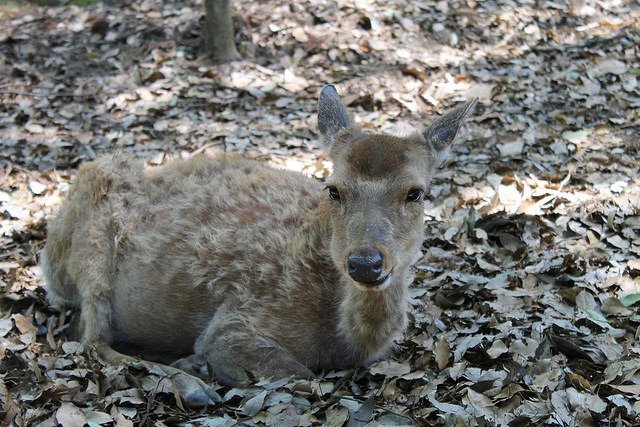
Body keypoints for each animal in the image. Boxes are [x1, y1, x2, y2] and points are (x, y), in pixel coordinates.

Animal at [41, 84, 476, 408]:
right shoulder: (237, 320)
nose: (365, 262)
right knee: (91, 340)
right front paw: (201, 361)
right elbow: (302, 375)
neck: (343, 340)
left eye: (415, 192)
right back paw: (193, 382)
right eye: (333, 189)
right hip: (92, 250)